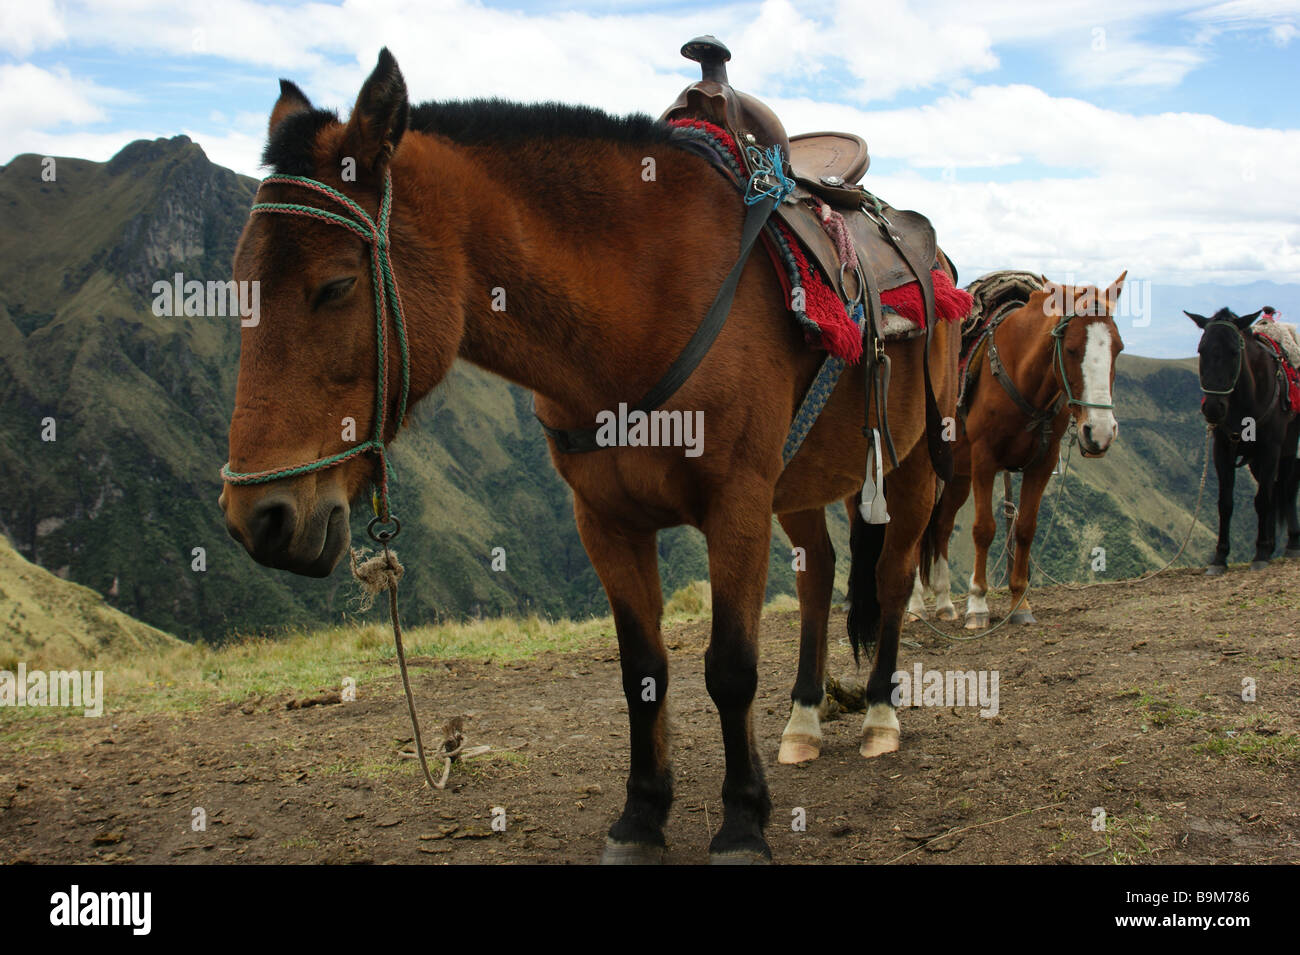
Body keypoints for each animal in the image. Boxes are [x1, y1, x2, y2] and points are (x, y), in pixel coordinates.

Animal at [218, 48, 961, 862]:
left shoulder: (736, 503)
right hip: (797, 486)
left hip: (912, 467)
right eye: (238, 287)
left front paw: (741, 821)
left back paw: (881, 716)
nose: (259, 517)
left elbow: (730, 669)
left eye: (337, 285)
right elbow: (643, 671)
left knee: (891, 580)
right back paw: (801, 720)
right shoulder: (605, 520)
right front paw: (641, 815)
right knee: (821, 577)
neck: (640, 303)